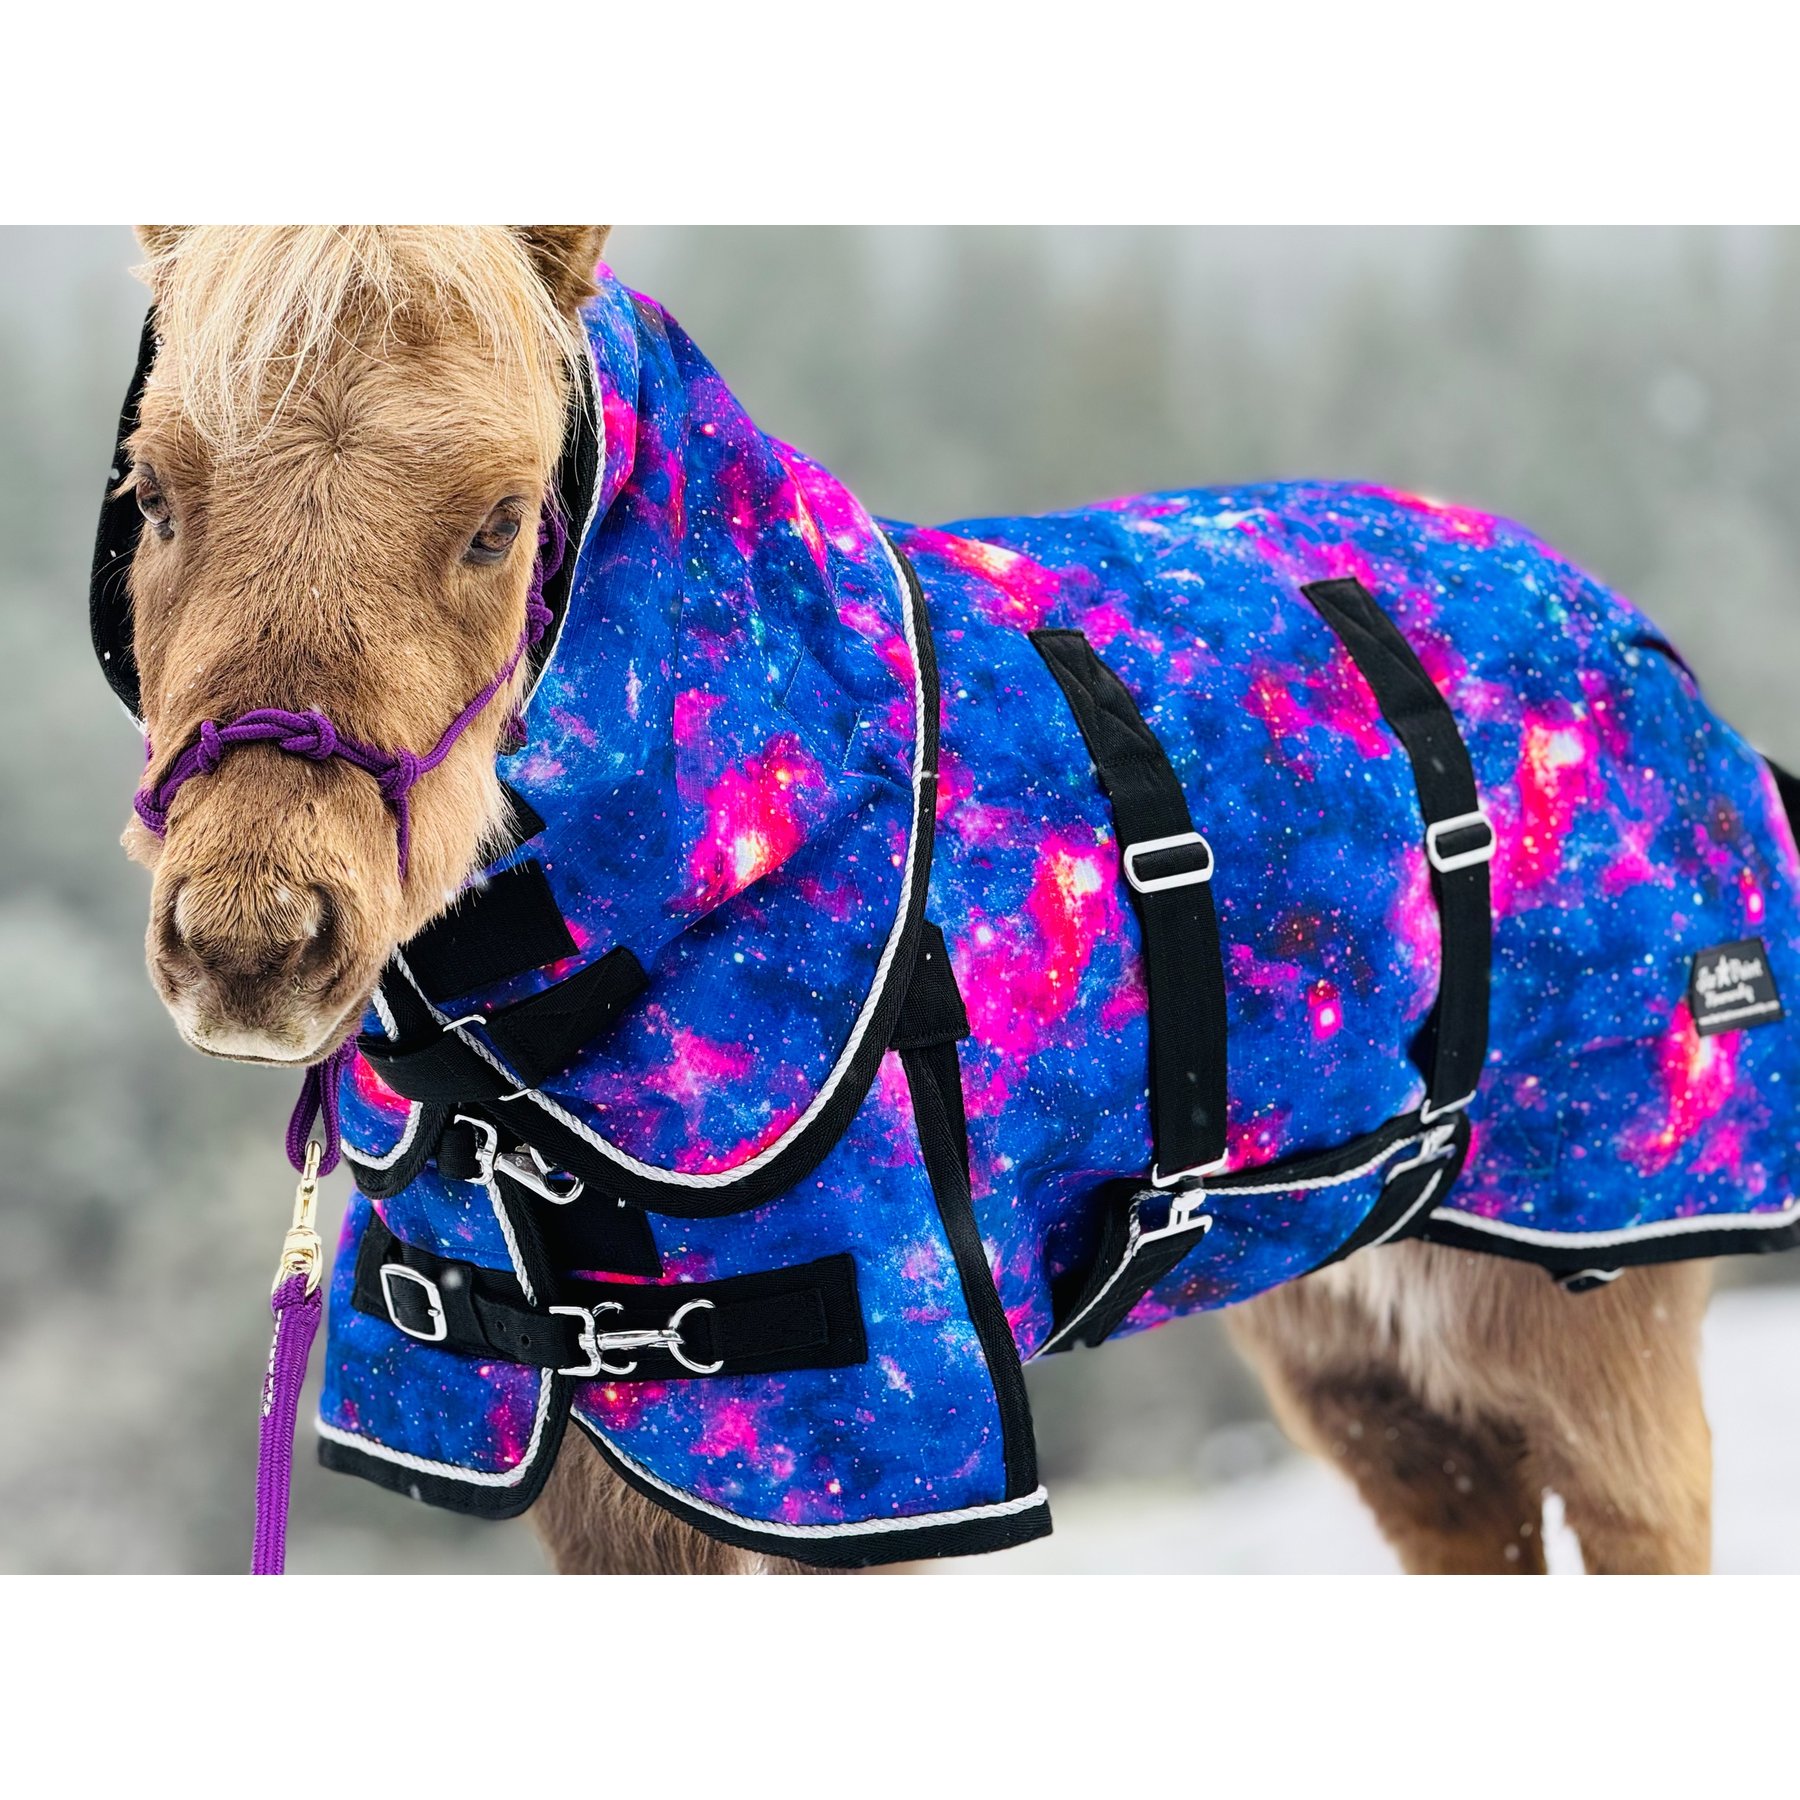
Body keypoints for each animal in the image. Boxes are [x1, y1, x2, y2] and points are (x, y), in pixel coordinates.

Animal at [101, 225, 1799, 1574]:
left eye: (498, 520)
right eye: (157, 496)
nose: (252, 940)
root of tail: (1641, 641)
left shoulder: (864, 1456)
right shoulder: (619, 1480)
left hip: (1599, 1306)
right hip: (1369, 1350)